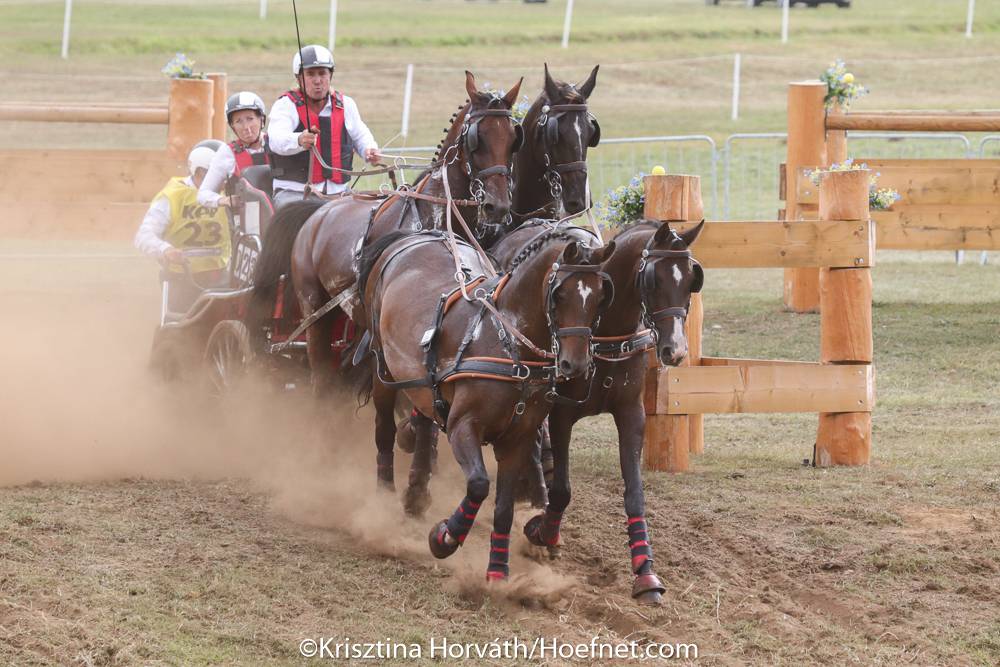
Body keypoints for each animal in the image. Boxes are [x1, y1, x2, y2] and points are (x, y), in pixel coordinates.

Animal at [246, 72, 524, 397]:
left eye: (513, 139)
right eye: (476, 139)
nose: (497, 206)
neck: (435, 211)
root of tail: (318, 210)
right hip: (315, 311)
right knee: (320, 372)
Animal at [355, 225, 615, 581]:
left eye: (601, 297)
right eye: (559, 294)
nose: (575, 365)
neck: (508, 343)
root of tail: (420, 234)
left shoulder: (518, 439)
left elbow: (503, 509)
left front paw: (498, 572)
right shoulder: (462, 425)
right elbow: (478, 485)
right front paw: (444, 538)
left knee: (422, 420)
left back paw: (415, 494)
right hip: (383, 369)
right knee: (383, 431)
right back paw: (384, 497)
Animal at [508, 219, 705, 605]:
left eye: (691, 278)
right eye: (654, 280)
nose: (675, 350)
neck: (605, 333)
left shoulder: (631, 414)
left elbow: (634, 493)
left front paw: (645, 573)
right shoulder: (561, 413)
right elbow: (562, 489)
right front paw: (544, 532)